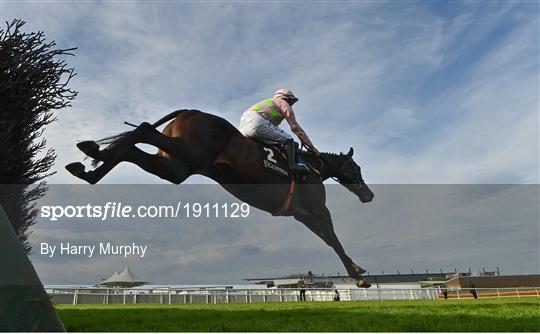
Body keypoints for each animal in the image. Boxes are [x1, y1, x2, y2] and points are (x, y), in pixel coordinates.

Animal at [65, 109, 374, 288]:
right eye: (357, 168)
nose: (369, 194)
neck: (313, 167)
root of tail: (192, 110)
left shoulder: (303, 216)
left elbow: (329, 240)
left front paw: (357, 268)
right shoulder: (317, 210)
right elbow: (334, 239)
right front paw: (358, 275)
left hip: (176, 166)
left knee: (135, 147)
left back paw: (90, 162)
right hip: (189, 152)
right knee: (143, 129)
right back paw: (92, 152)